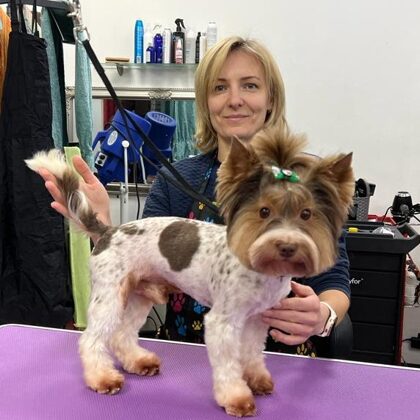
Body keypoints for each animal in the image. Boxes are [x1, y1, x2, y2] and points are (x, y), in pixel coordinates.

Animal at [25, 128, 354, 417]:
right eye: (264, 212)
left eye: (306, 214)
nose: (286, 246)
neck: (259, 268)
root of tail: (109, 230)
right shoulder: (223, 322)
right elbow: (228, 365)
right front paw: (236, 398)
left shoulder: (257, 319)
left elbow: (251, 353)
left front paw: (257, 379)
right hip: (109, 295)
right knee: (92, 339)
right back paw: (102, 378)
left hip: (139, 295)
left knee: (122, 335)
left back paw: (139, 361)